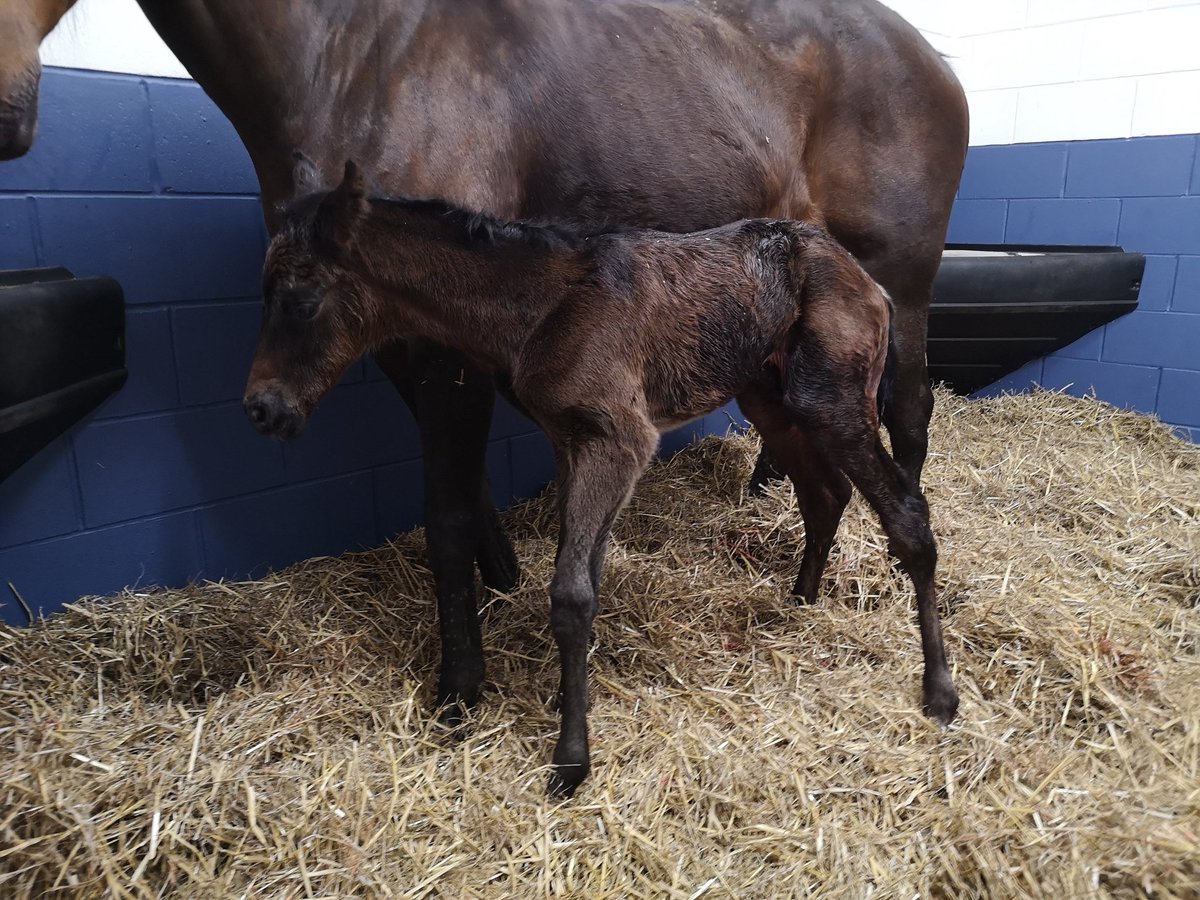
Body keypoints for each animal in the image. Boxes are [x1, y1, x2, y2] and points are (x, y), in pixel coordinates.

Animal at [248, 162, 960, 796]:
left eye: (303, 299)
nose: (262, 408)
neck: (542, 306)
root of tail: (870, 283)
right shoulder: (572, 442)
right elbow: (585, 577)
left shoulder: (618, 439)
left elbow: (570, 595)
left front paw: (570, 760)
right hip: (771, 396)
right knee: (825, 494)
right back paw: (801, 604)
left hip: (832, 400)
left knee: (906, 514)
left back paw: (940, 692)